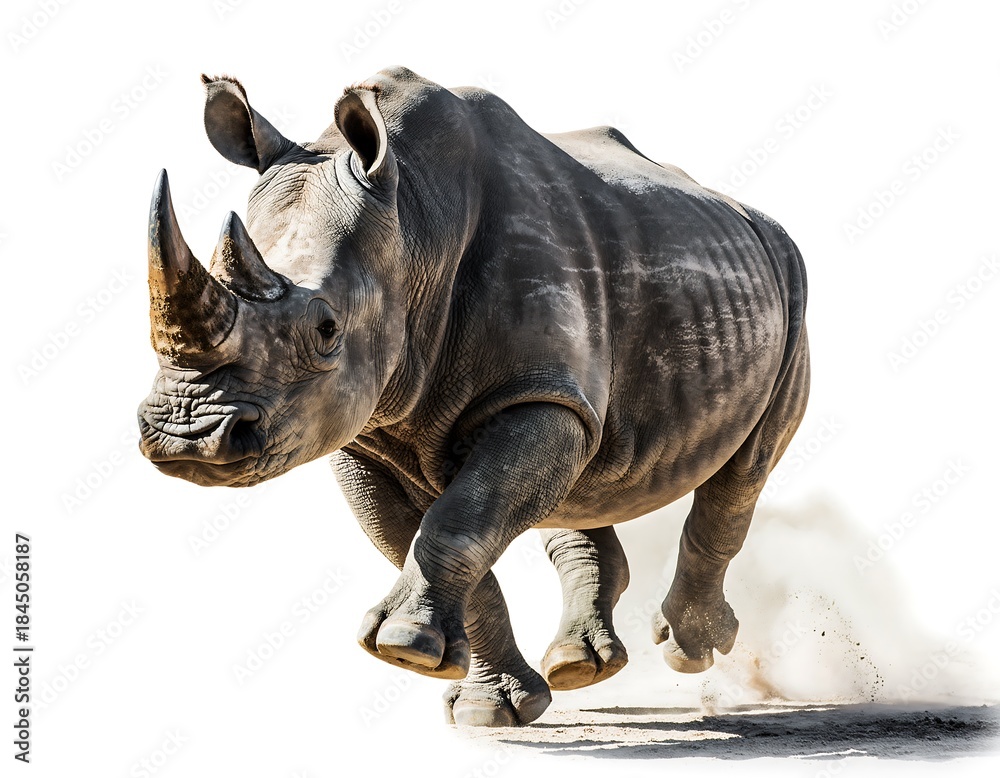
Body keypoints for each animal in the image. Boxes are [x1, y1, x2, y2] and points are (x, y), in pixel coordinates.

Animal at [137, 67, 809, 727]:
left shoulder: (532, 393)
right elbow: (422, 535)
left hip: (789, 279)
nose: (186, 435)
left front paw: (402, 647)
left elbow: (459, 518)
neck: (413, 223)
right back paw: (579, 667)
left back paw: (688, 648)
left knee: (744, 466)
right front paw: (481, 701)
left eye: (326, 329)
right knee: (583, 476)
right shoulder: (361, 427)